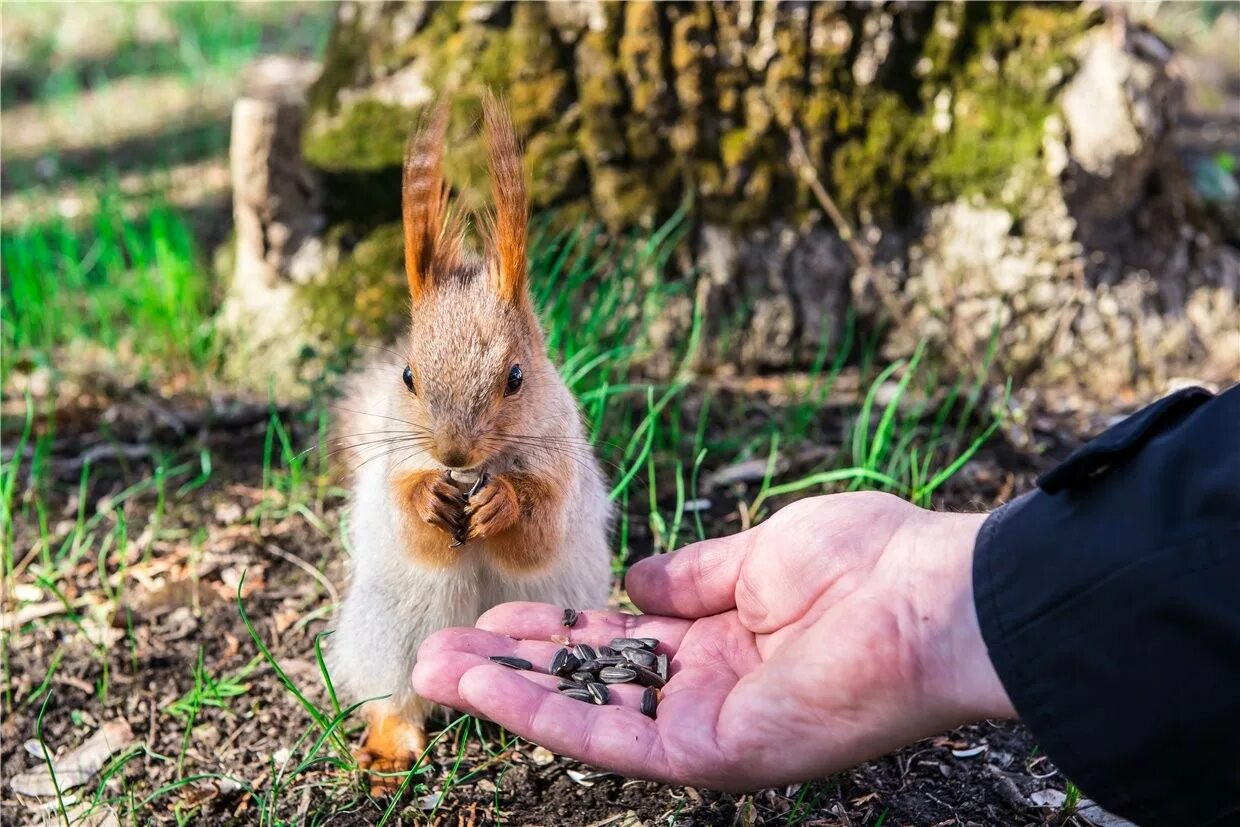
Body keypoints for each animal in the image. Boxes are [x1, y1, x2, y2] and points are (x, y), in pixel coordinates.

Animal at [327, 93, 612, 793]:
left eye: (516, 377)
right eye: (408, 375)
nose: (453, 456)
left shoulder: (564, 468)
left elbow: (539, 530)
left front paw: (501, 503)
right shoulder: (394, 465)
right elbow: (409, 520)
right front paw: (431, 497)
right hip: (388, 629)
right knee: (394, 698)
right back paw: (390, 748)